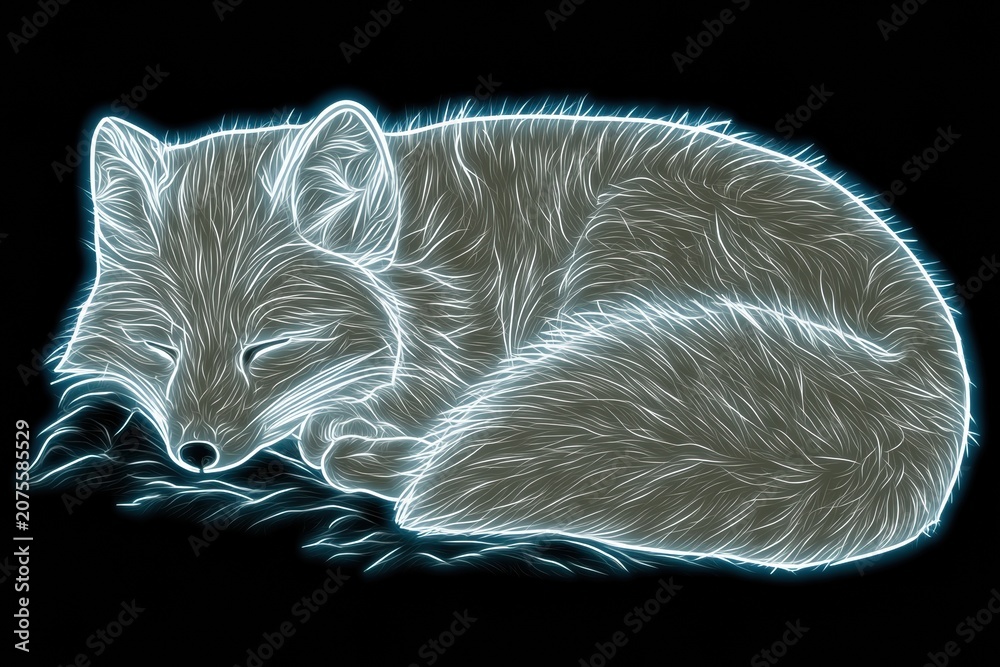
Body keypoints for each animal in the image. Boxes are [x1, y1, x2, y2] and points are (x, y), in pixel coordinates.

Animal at [52, 99, 971, 569]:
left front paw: (349, 438)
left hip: (622, 245)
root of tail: (934, 374)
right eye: (164, 346)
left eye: (265, 346)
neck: (431, 270)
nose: (196, 451)